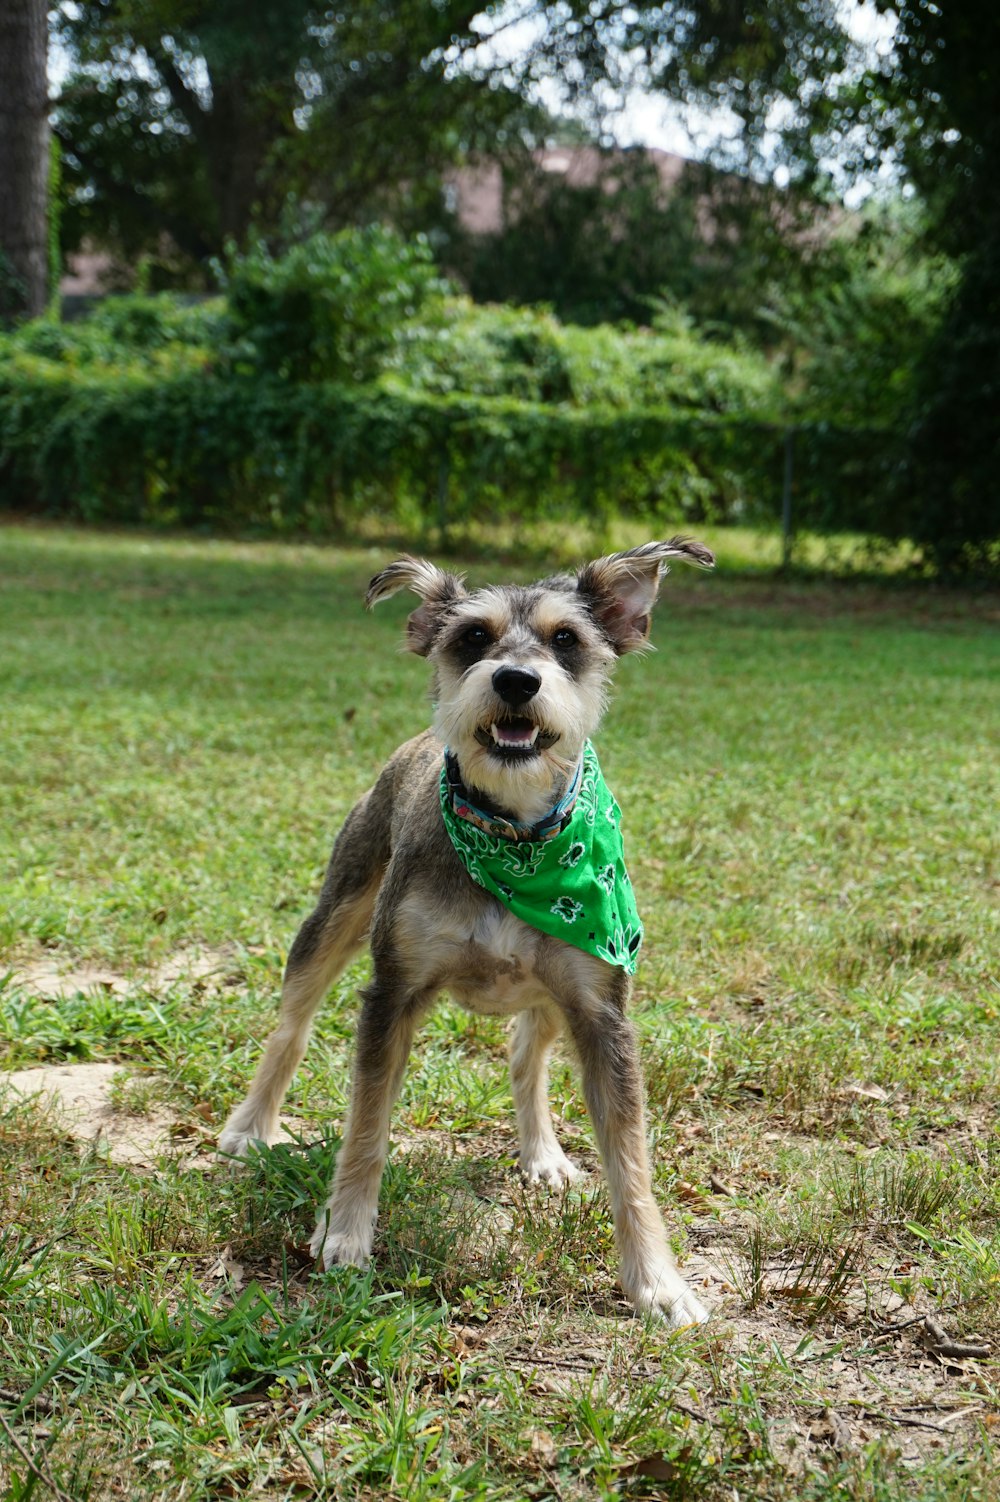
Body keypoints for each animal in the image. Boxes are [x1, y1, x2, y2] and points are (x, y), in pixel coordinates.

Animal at [222, 540, 711, 1327]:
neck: (516, 838)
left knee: (526, 1054)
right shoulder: (392, 992)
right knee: (291, 1027)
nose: (514, 679)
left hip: (555, 991)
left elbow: (630, 1161)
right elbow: (366, 1128)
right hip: (333, 917)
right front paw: (345, 1233)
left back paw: (541, 1152)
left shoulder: (601, 1011)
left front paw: (658, 1284)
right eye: (473, 636)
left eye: (566, 640)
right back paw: (251, 1125)